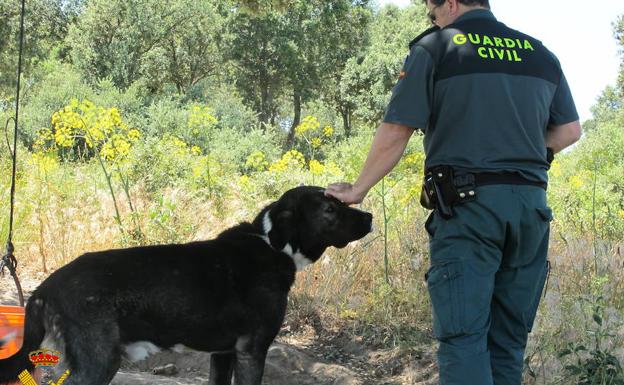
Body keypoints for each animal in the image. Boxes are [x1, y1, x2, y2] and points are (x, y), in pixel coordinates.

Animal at [0, 186, 370, 384]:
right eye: (330, 208)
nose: (370, 218)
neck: (271, 244)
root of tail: (45, 287)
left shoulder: (224, 354)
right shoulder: (252, 350)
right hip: (98, 361)